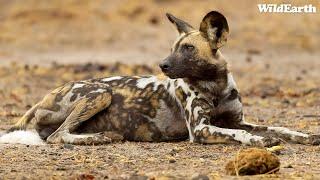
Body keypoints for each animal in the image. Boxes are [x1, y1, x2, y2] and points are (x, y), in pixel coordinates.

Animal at [5, 10, 320, 146]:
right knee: (56, 136)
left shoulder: (237, 120)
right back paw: (101, 137)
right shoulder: (201, 130)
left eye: (188, 48)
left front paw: (305, 136)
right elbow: (241, 134)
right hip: (99, 93)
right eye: (172, 48)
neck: (215, 86)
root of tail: (40, 99)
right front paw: (256, 141)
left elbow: (279, 128)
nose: (162, 64)